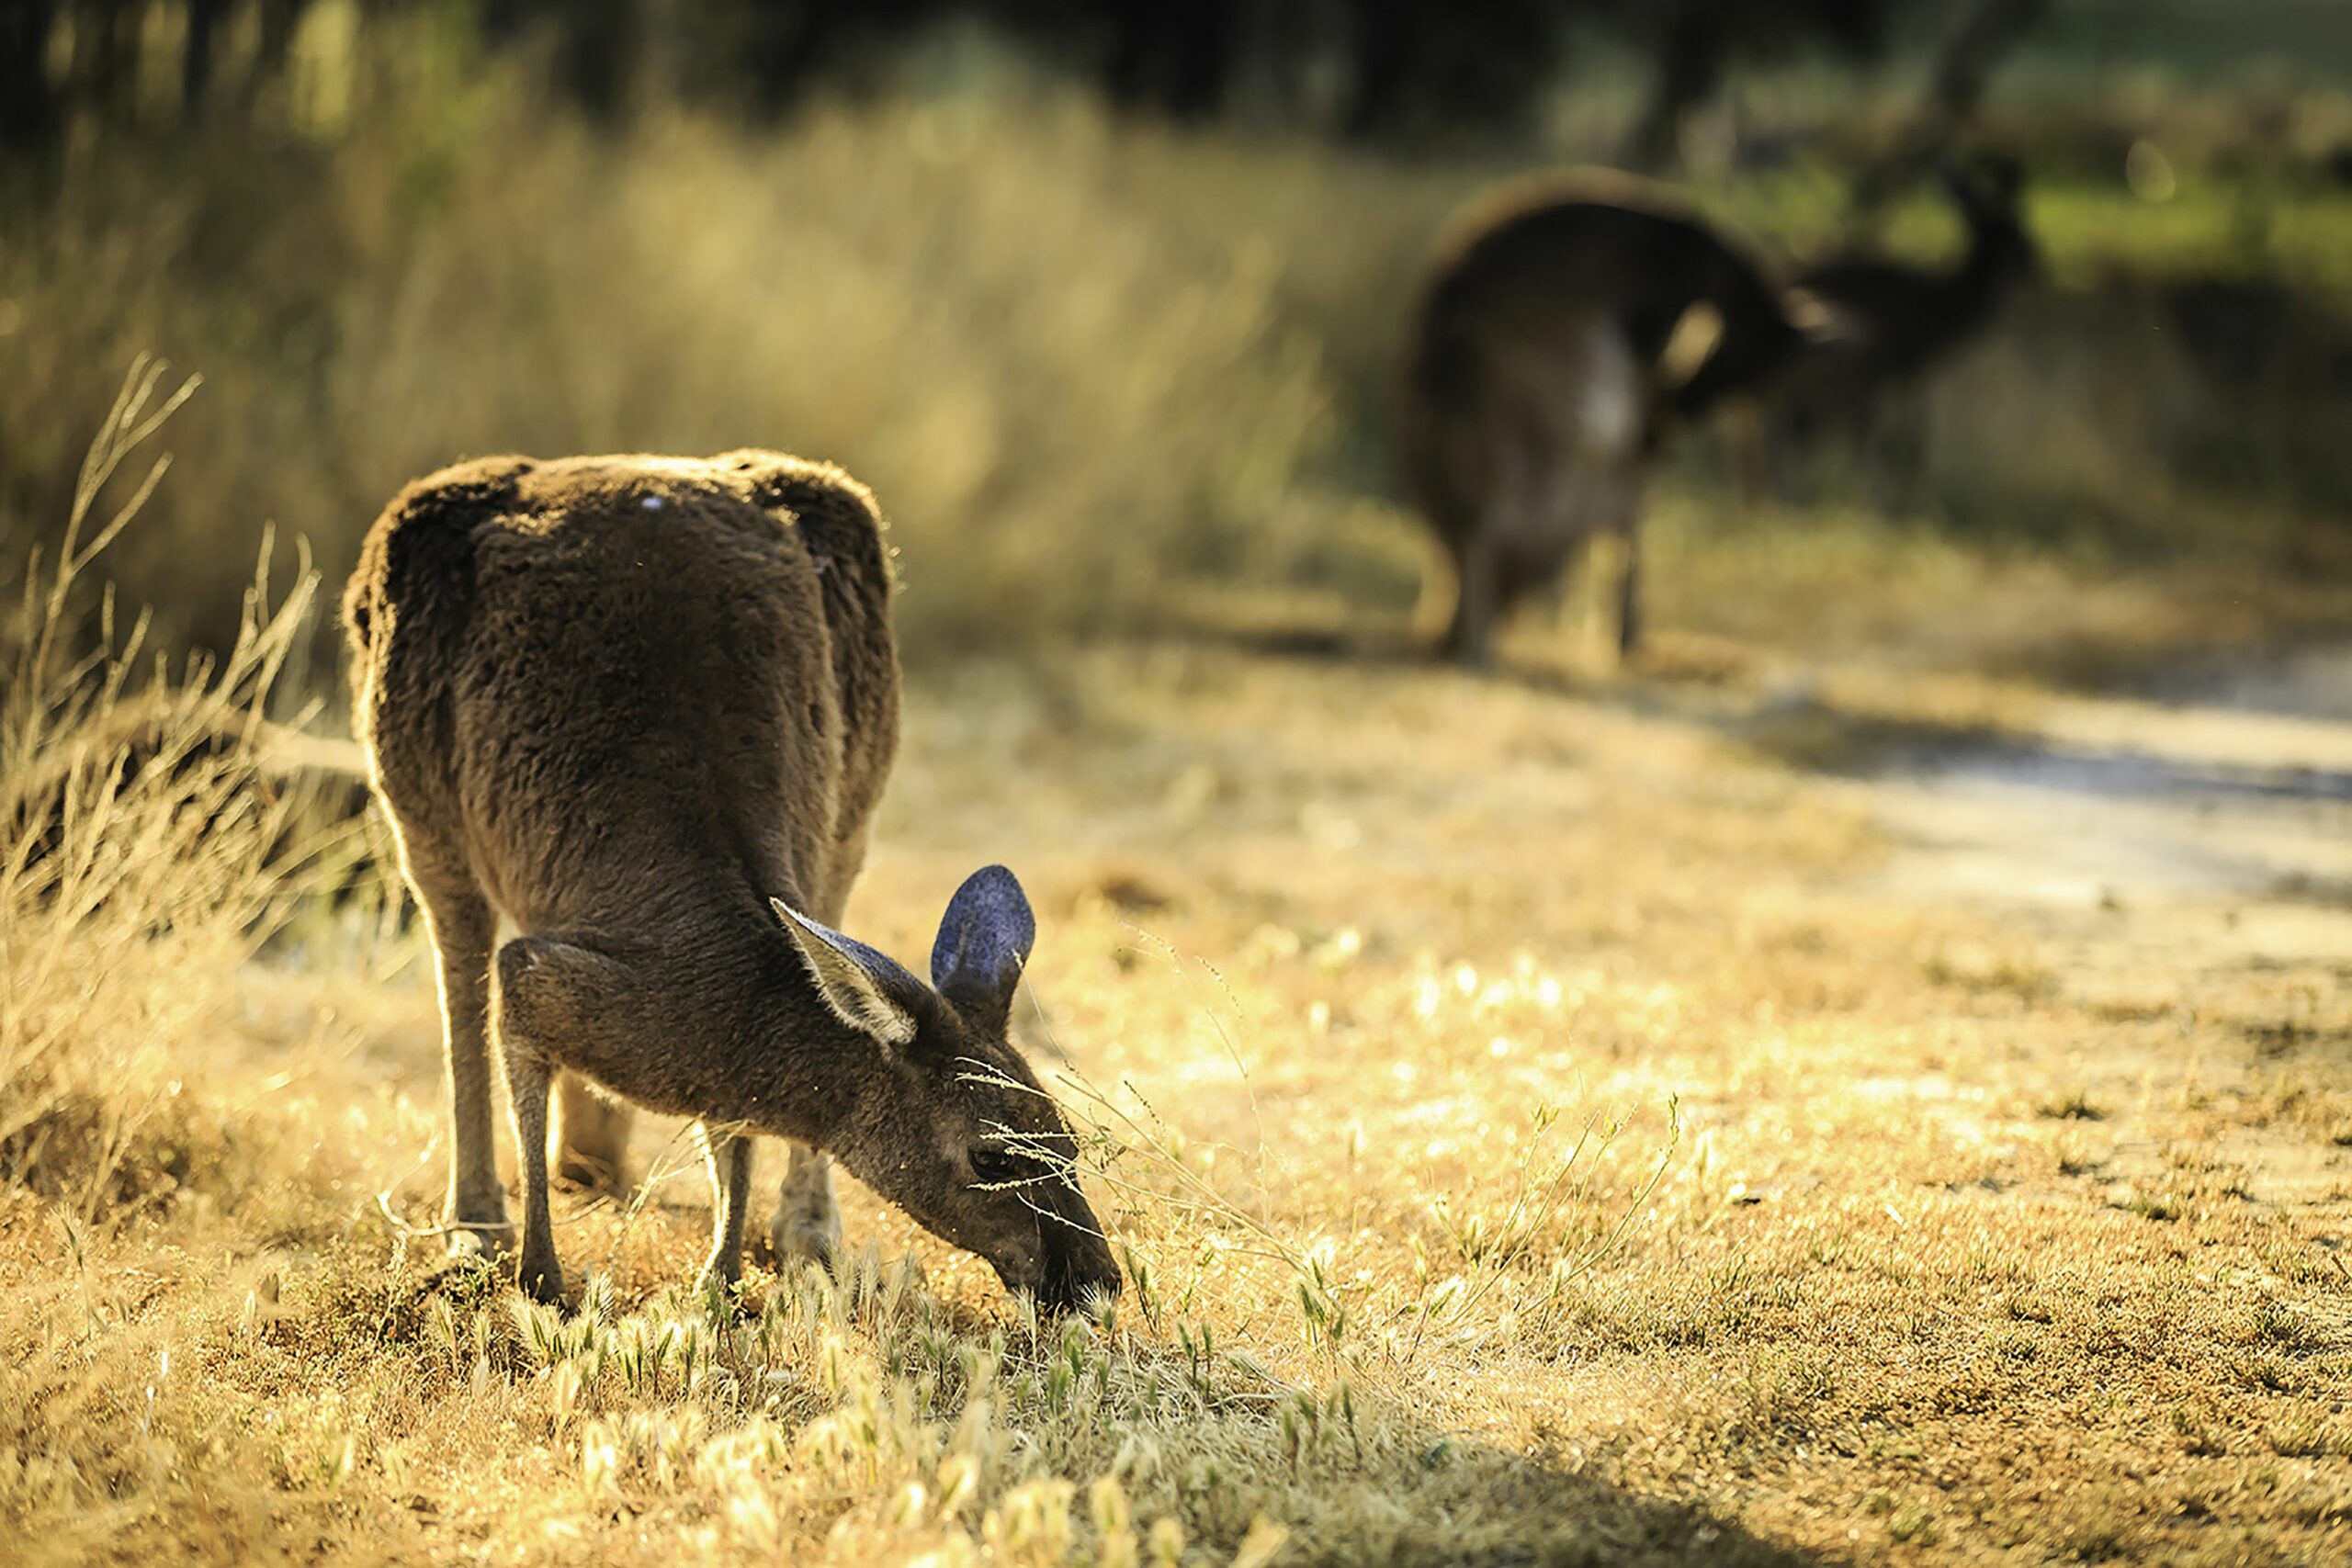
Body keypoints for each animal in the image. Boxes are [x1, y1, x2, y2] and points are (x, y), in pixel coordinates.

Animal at [341, 453, 1119, 1316]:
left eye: (1069, 1142)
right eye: (992, 1159)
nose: (1099, 1282)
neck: (719, 957)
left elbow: (735, 1124)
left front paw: (721, 1277)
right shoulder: (557, 981)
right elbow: (513, 995)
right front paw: (543, 1284)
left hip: (856, 763)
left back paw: (793, 1231)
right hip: (407, 754)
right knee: (459, 951)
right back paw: (478, 1230)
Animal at [1401, 173, 1825, 667]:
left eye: (1756, 382)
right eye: (1739, 365)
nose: (1670, 432)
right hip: (1508, 438)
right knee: (1498, 526)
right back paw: (1486, 642)